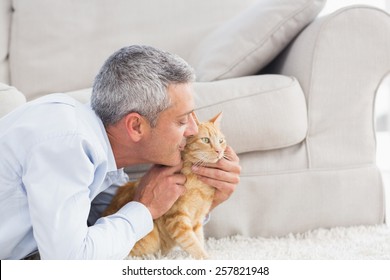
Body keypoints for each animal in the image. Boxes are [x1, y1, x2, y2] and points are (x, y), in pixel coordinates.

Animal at [103, 112, 225, 260]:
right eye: (206, 140)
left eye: (221, 141)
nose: (219, 151)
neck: (199, 186)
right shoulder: (177, 220)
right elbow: (193, 244)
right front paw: (206, 257)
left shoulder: (197, 221)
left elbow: (199, 239)